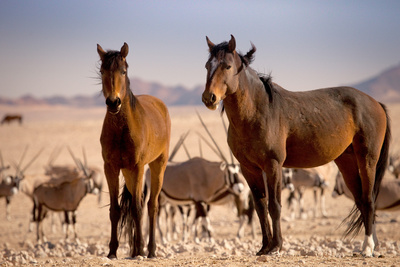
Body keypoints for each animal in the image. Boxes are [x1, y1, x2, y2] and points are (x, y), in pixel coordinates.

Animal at [97, 42, 171, 260]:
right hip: (129, 173)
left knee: (151, 206)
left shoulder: (138, 167)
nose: (113, 102)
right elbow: (115, 210)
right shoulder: (111, 168)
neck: (122, 128)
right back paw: (138, 249)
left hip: (157, 166)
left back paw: (151, 250)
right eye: (102, 71)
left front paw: (140, 251)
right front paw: (112, 252)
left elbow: (138, 209)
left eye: (123, 70)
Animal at [202, 35, 390, 258]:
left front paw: (276, 246)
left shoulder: (273, 165)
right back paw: (373, 246)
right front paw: (263, 247)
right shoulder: (249, 169)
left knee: (369, 200)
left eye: (228, 66)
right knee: (361, 200)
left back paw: (368, 247)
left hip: (367, 159)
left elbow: (275, 205)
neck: (258, 111)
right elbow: (260, 207)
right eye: (207, 66)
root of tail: (376, 103)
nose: (209, 98)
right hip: (347, 162)